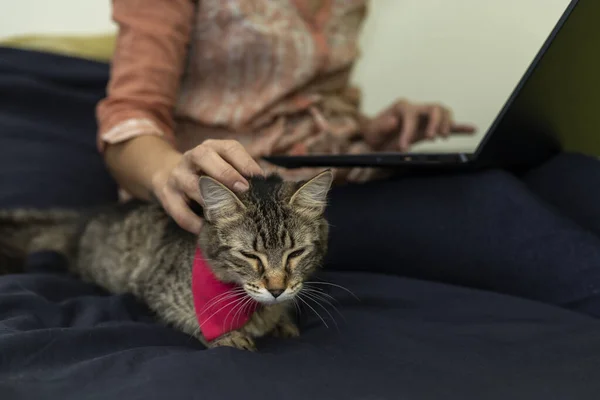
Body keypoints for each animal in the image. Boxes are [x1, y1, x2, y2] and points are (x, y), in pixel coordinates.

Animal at [0, 170, 332, 352]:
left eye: (295, 253)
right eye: (249, 255)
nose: (276, 289)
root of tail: (86, 218)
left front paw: (282, 321)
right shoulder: (158, 291)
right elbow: (194, 320)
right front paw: (230, 336)